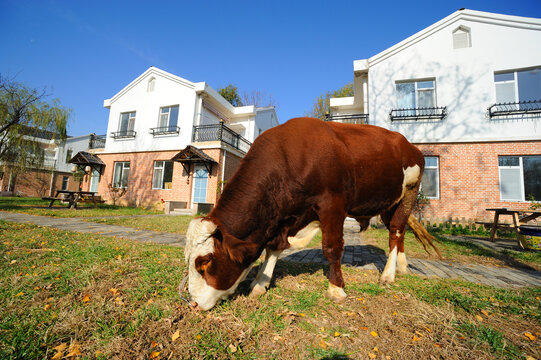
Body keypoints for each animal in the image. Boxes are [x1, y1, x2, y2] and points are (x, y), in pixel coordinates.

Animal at [184, 117, 436, 310]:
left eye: (205, 264)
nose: (193, 304)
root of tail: (409, 145)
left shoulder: (332, 205)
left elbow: (332, 247)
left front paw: (336, 289)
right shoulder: (285, 216)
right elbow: (273, 247)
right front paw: (260, 284)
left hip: (410, 192)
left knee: (396, 230)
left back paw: (388, 275)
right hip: (388, 203)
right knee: (400, 232)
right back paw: (401, 267)